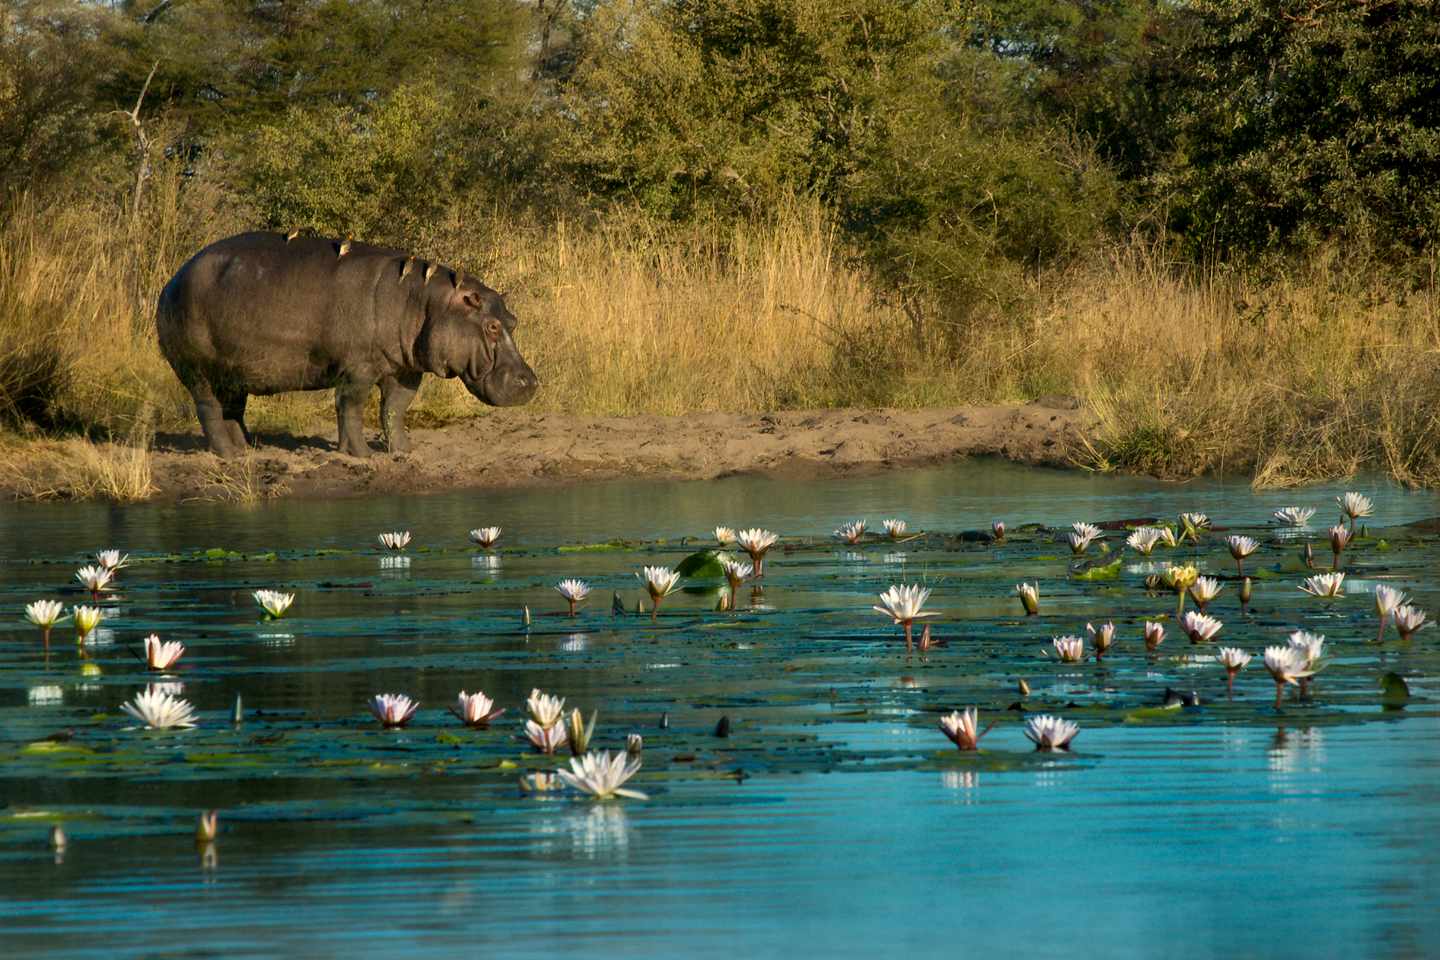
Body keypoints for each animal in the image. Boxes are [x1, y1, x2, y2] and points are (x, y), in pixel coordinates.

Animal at [156, 231, 538, 458]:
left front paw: (402, 452)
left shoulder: (405, 370)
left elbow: (395, 409)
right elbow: (351, 407)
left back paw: (249, 449)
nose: (531, 381)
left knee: (233, 410)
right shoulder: (359, 369)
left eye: (513, 320)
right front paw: (361, 455)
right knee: (208, 408)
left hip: (234, 373)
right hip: (197, 369)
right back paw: (228, 455)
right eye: (491, 326)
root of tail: (173, 279)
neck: (427, 301)